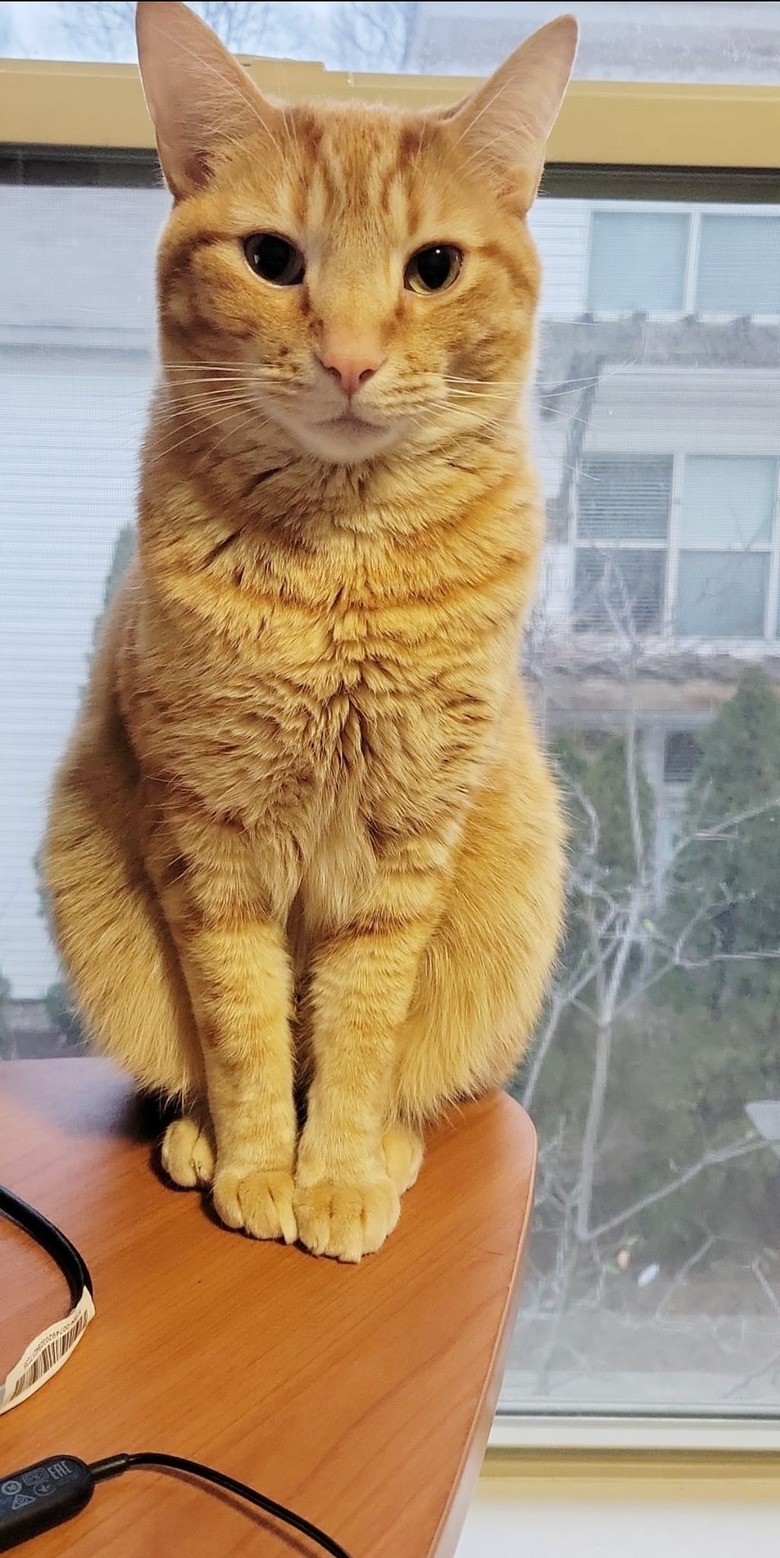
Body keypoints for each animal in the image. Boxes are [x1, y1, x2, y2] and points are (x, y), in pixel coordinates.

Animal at [44, 0, 579, 1258]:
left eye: (433, 268)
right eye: (273, 259)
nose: (347, 357)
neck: (342, 570)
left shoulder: (405, 845)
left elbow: (357, 1034)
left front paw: (333, 1173)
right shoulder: (210, 837)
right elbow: (243, 1030)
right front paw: (257, 1165)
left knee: (412, 1081)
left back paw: (385, 1148)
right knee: (188, 1062)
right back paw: (197, 1138)